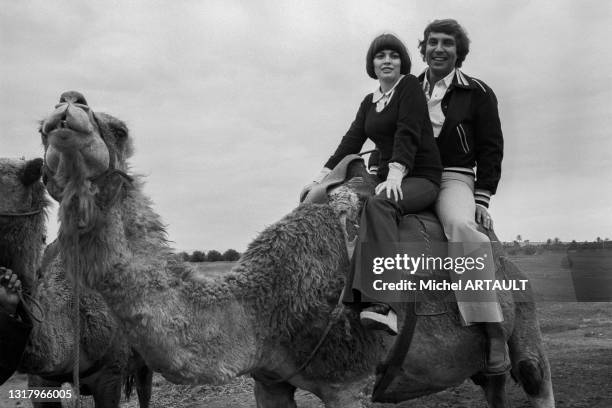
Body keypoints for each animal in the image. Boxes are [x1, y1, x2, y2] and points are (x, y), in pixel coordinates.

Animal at [38, 90, 556, 408]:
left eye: (119, 129)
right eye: (40, 128)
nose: (67, 105)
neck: (264, 307)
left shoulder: (349, 381)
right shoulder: (269, 381)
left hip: (525, 315)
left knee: (534, 375)